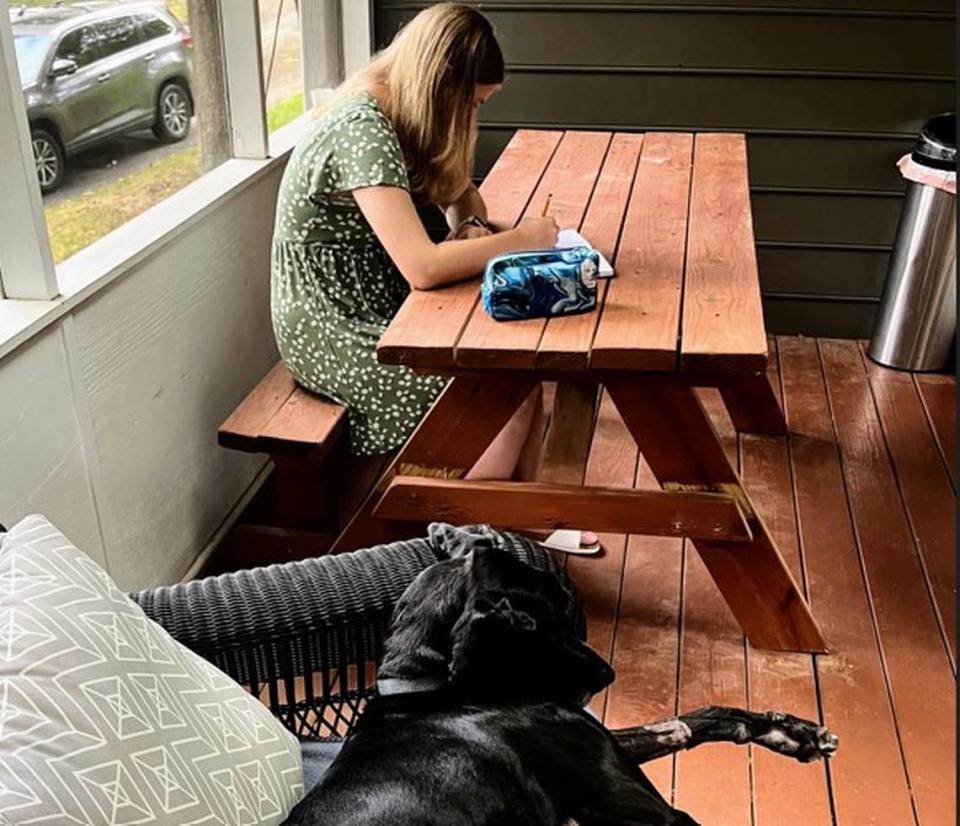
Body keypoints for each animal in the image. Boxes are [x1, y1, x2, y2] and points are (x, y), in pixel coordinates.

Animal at [288, 524, 836, 820]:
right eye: (537, 617)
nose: (606, 676)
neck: (427, 690)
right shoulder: (648, 809)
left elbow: (691, 720)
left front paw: (790, 731)